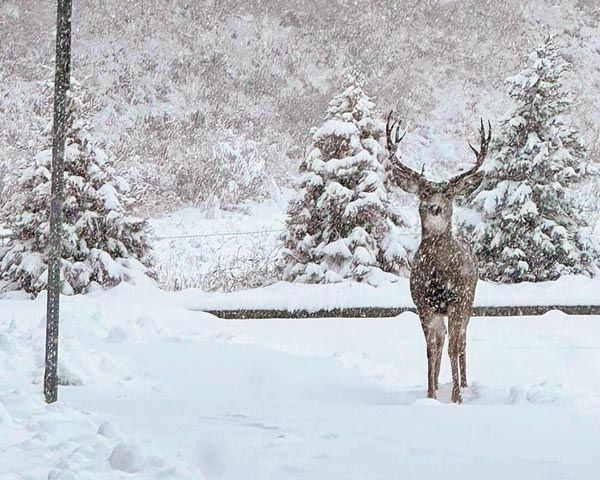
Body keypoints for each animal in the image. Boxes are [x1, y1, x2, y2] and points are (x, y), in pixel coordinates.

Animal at [384, 114, 492, 404]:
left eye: (448, 194)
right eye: (423, 192)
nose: (434, 207)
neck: (439, 274)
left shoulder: (458, 299)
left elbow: (454, 346)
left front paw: (456, 396)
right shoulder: (423, 303)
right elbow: (431, 349)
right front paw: (431, 395)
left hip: (469, 301)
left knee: (461, 340)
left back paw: (464, 384)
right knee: (443, 341)